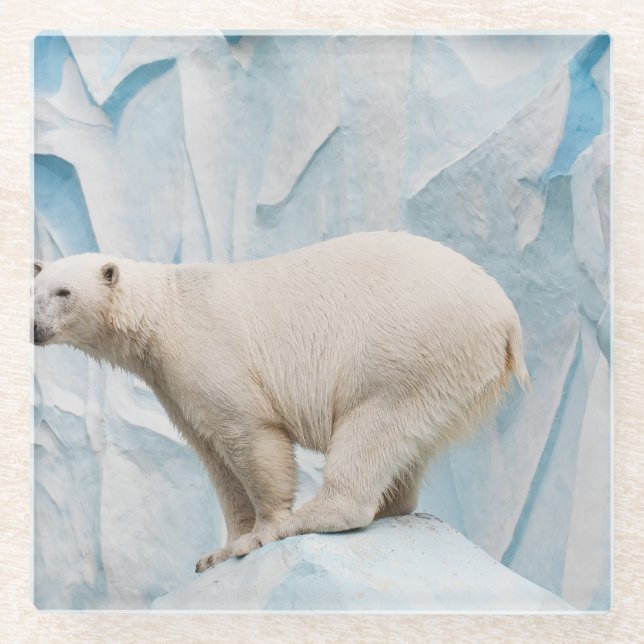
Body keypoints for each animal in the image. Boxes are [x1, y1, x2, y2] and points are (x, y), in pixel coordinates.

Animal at [33, 231, 529, 573]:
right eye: (34, 289)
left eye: (64, 292)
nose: (33, 327)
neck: (164, 313)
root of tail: (506, 317)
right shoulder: (172, 386)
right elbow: (214, 456)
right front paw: (218, 551)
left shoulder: (209, 352)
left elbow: (250, 437)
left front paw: (263, 532)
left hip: (411, 345)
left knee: (374, 424)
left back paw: (315, 515)